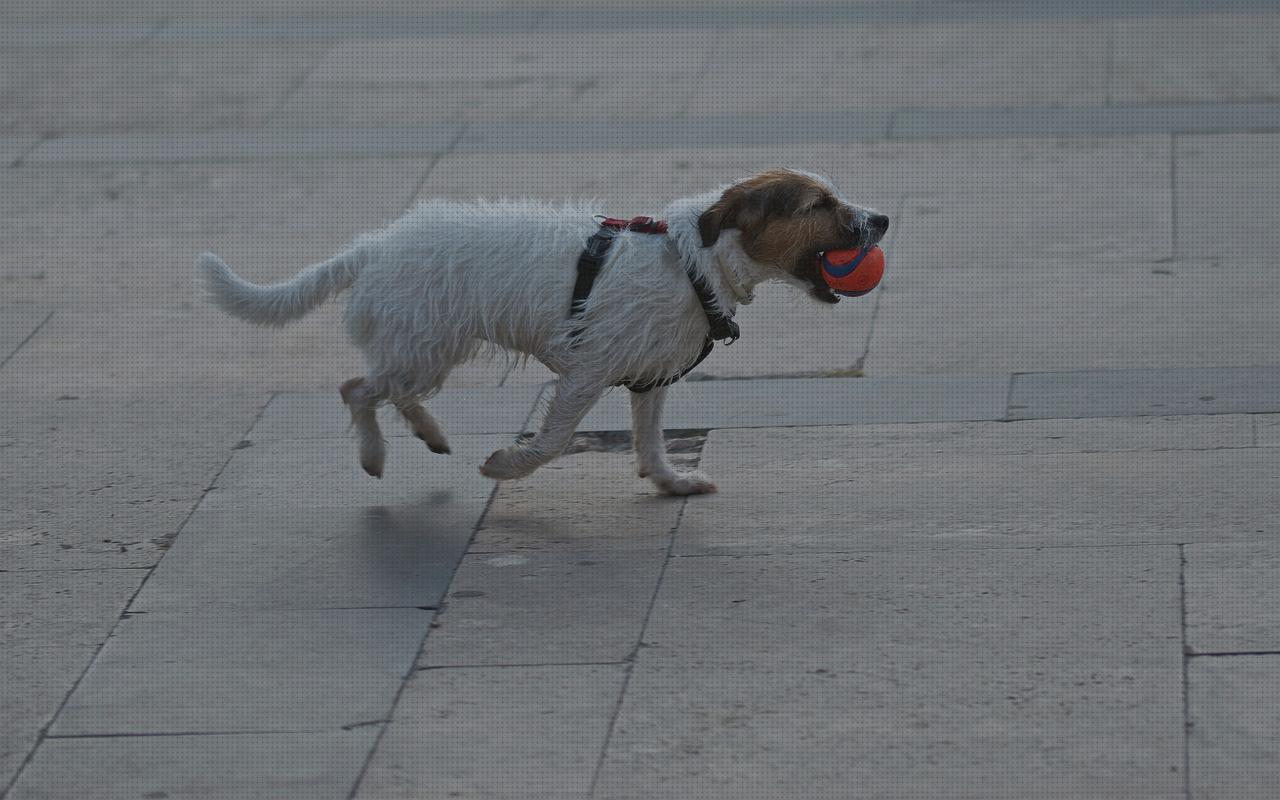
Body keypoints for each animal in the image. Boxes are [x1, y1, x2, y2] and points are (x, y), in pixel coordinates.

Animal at [194, 168, 890, 494]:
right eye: (818, 206)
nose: (882, 218)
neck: (693, 261)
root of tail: (376, 247)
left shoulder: (650, 377)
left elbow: (650, 440)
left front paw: (669, 482)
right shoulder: (586, 372)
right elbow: (553, 441)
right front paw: (508, 465)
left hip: (423, 348)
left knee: (391, 391)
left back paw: (429, 433)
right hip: (423, 346)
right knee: (357, 390)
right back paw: (375, 453)